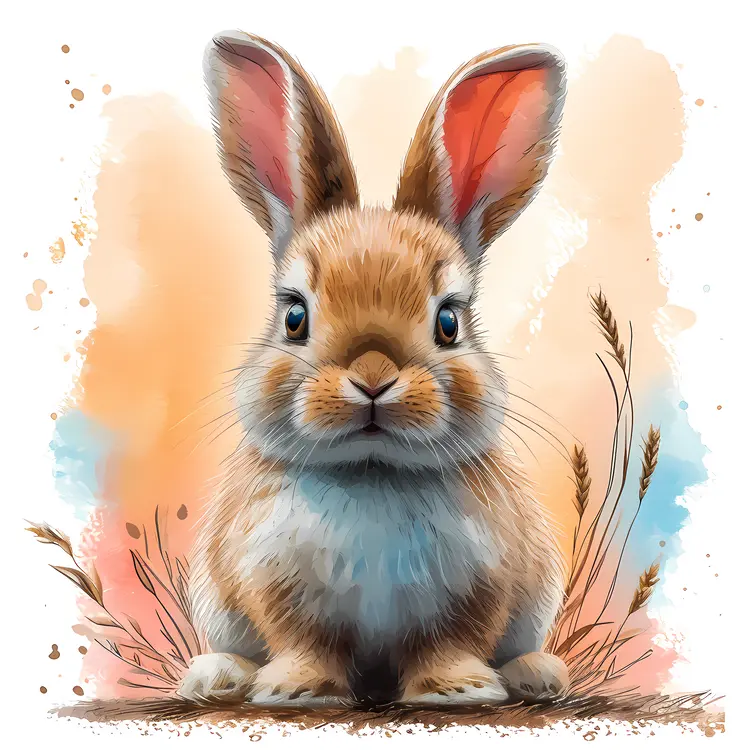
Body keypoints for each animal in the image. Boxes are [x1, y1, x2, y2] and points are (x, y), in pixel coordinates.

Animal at [178, 30, 570, 708]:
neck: (373, 472)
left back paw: (536, 674)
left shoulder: (482, 586)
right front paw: (298, 690)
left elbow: (453, 640)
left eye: (449, 321)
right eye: (295, 316)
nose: (372, 379)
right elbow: (304, 641)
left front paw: (458, 689)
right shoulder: (275, 585)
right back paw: (216, 674)